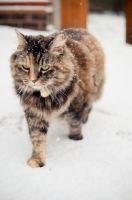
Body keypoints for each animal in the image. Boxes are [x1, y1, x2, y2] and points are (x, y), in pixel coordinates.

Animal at [9, 28, 105, 168]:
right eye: (26, 67)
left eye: (45, 67)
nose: (33, 80)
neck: (44, 96)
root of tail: (81, 29)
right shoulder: (34, 114)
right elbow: (37, 139)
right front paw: (37, 160)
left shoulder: (76, 106)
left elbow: (75, 125)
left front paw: (75, 139)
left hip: (94, 91)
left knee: (89, 107)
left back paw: (85, 119)